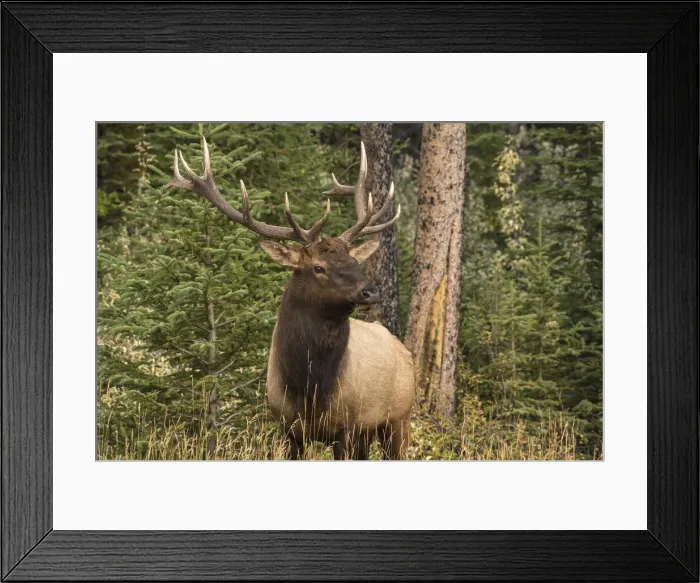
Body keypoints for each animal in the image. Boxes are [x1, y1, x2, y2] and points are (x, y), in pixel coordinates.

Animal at [168, 136, 415, 460]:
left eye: (354, 261)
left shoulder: (347, 426)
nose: (370, 291)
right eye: (318, 267)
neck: (309, 390)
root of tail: (403, 349)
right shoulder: (287, 427)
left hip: (399, 418)